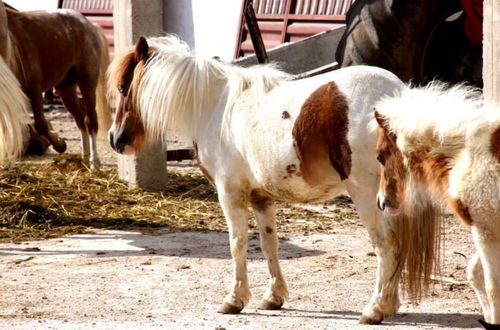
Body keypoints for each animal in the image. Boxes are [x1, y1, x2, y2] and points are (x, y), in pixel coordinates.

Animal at [0, 1, 111, 168]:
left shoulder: (34, 90)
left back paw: (94, 162)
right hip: (66, 89)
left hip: (87, 82)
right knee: (80, 119)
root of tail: (89, 25)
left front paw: (60, 144)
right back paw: (84, 158)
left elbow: (41, 125)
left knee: (90, 121)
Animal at [107, 34, 444, 324]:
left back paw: (375, 308)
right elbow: (270, 245)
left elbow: (237, 244)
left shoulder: (230, 194)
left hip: (367, 196)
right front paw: (273, 297)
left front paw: (234, 300)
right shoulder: (261, 197)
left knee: (387, 245)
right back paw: (390, 304)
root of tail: (397, 98)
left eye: (124, 88)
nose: (115, 139)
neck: (216, 107)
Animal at [376, 82, 500, 328]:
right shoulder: (486, 228)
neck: (467, 153)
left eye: (380, 156)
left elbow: (492, 287)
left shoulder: (486, 230)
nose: (381, 202)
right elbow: (474, 273)